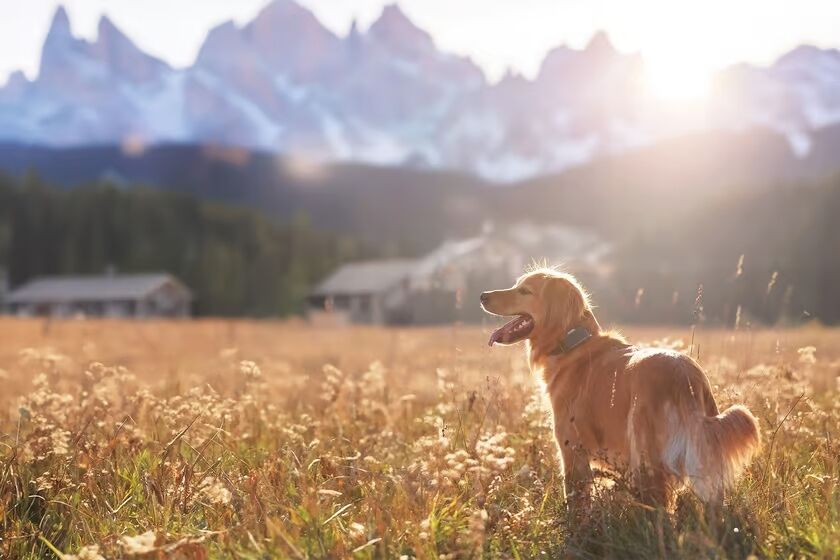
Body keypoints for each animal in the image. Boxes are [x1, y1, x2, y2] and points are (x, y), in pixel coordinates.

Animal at [480, 268, 760, 512]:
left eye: (525, 290)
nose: (482, 295)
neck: (573, 343)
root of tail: (685, 376)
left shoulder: (571, 449)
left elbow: (575, 501)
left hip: (646, 455)